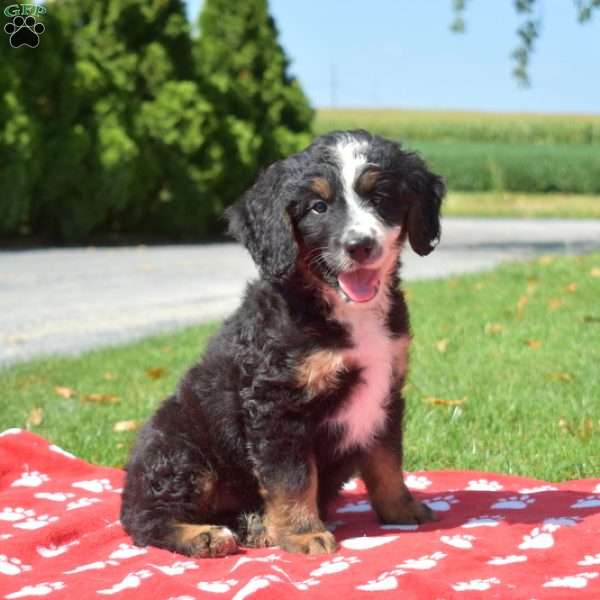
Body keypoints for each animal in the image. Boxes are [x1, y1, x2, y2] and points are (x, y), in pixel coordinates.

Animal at [119, 129, 442, 556]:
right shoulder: (277, 404)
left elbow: (387, 462)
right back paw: (205, 535)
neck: (344, 311)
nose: (360, 245)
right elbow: (293, 478)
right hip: (180, 447)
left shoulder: (385, 392)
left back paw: (255, 526)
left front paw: (402, 510)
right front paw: (304, 533)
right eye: (318, 207)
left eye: (380, 197)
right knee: (144, 520)